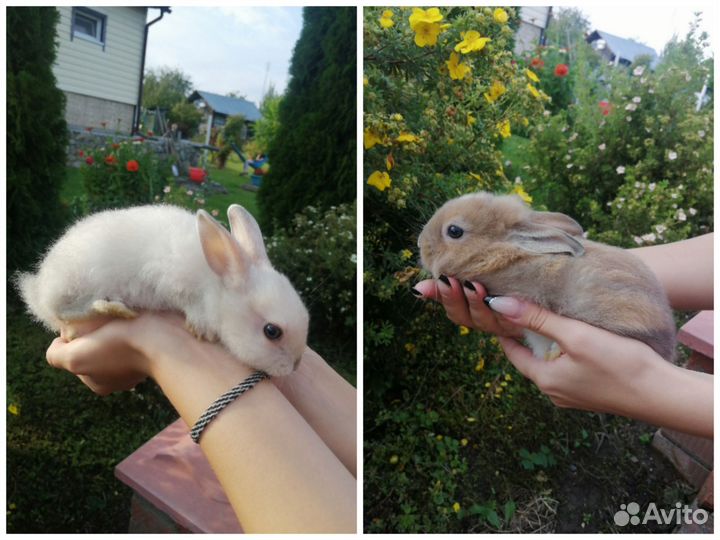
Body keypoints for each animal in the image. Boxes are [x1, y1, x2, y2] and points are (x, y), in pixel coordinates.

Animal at [16, 204, 309, 377]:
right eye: (272, 331)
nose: (294, 366)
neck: (215, 283)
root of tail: (38, 290)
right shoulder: (171, 280)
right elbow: (188, 302)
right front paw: (201, 328)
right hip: (75, 284)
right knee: (64, 311)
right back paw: (112, 308)